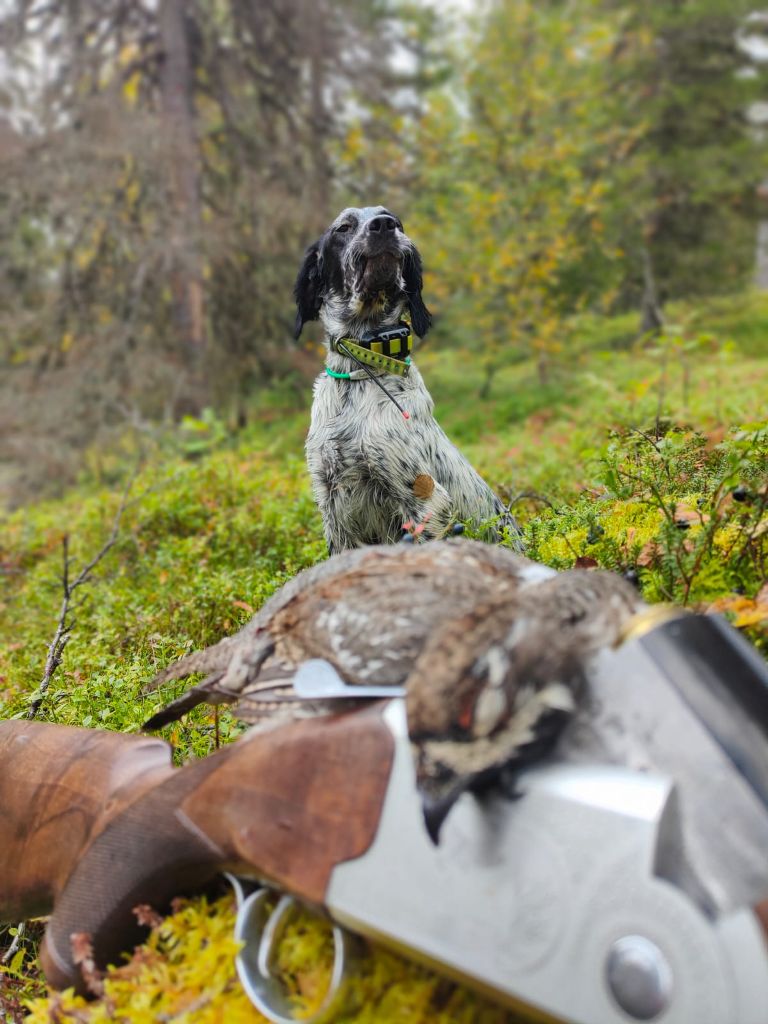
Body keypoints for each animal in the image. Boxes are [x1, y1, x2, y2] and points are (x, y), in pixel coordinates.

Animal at [294, 205, 524, 552]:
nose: (384, 226)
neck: (360, 374)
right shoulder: (332, 504)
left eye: (396, 221)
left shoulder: (425, 499)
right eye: (344, 227)